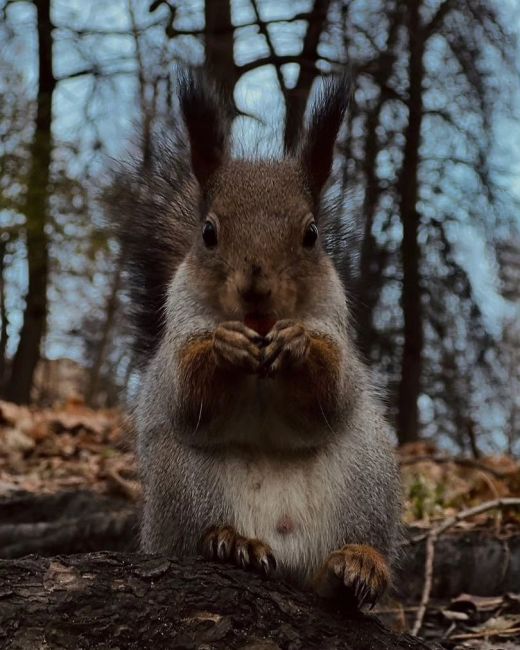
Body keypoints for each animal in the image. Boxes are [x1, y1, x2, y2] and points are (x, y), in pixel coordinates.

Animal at [109, 71, 400, 608]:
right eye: (208, 232)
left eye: (311, 234)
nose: (256, 290)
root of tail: (286, 554)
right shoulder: (179, 332)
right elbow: (188, 391)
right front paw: (226, 347)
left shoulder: (337, 328)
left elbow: (333, 390)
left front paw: (297, 343)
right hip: (182, 480)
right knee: (197, 533)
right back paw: (231, 542)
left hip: (367, 477)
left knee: (339, 563)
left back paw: (356, 566)